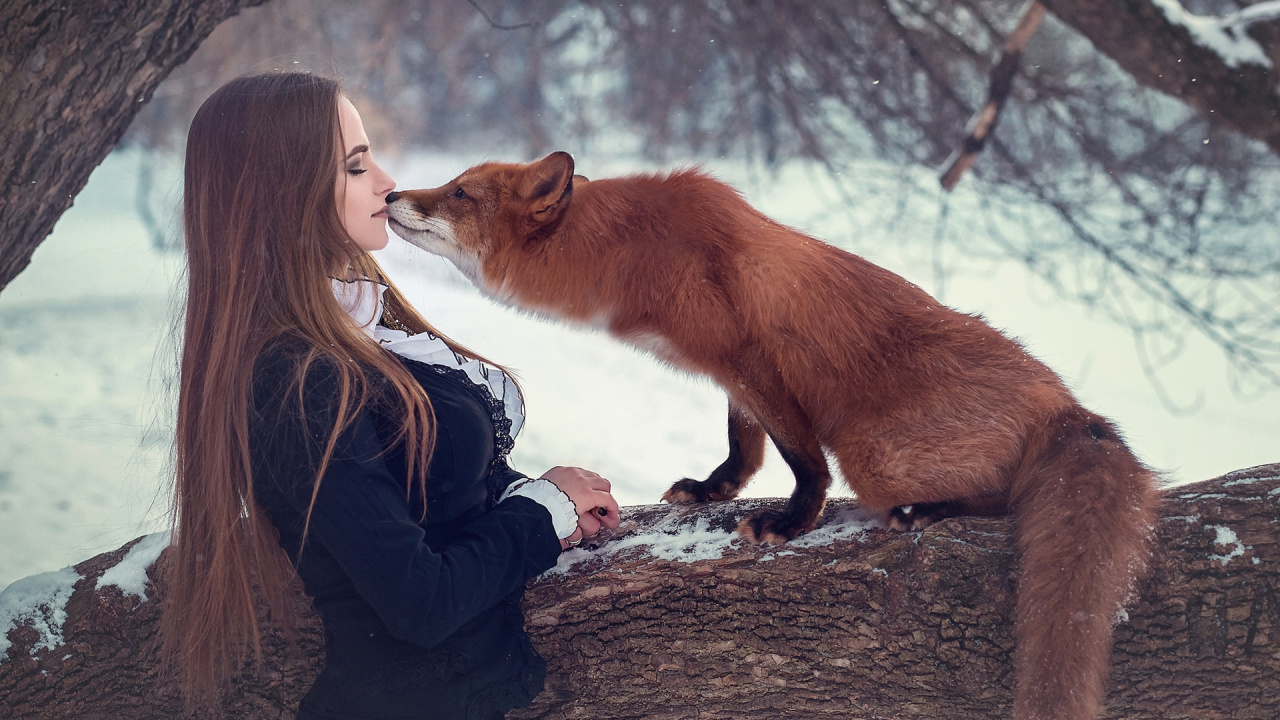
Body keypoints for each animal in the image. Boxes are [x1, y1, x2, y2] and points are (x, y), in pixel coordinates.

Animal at [384, 151, 1159, 720]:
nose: (391, 193)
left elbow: (800, 458)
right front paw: (714, 489)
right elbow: (745, 446)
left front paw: (791, 522)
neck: (630, 252)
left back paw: (929, 511)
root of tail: (1067, 405)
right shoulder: (733, 377)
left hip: (873, 452)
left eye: (458, 193)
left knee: (1003, 501)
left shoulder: (752, 362)